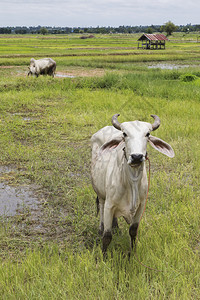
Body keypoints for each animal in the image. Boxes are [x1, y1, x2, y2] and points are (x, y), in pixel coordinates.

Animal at [90, 114, 173, 253]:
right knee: (100, 206)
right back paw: (100, 228)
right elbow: (107, 236)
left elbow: (133, 231)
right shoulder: (109, 205)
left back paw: (117, 228)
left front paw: (132, 253)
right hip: (100, 192)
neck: (132, 182)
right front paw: (104, 255)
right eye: (124, 134)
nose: (137, 157)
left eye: (148, 134)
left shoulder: (141, 206)